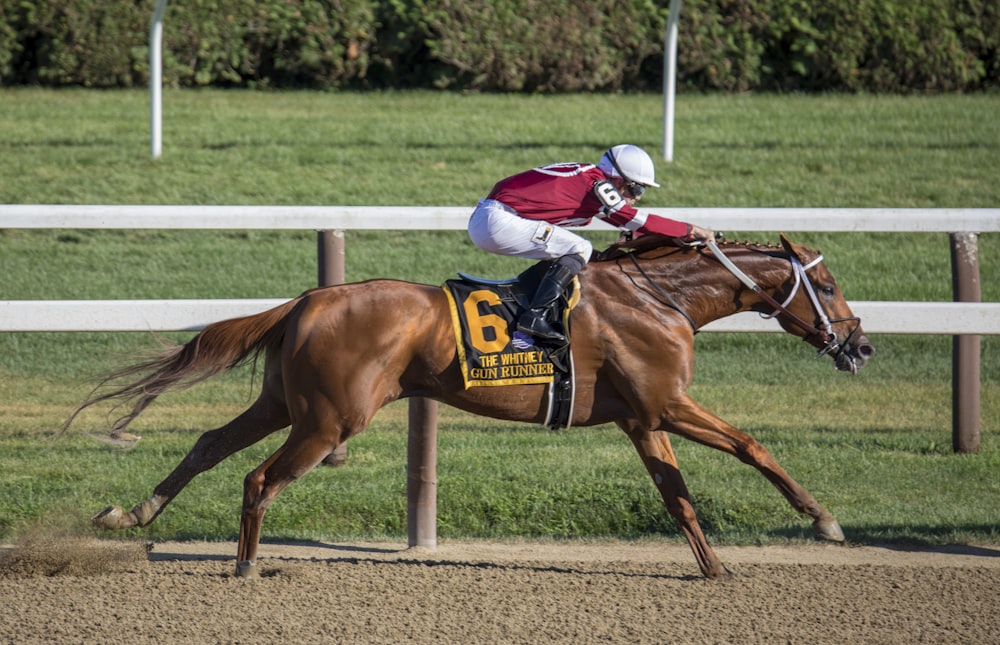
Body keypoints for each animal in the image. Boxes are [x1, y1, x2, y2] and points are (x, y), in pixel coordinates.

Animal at [66, 235, 872, 580]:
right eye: (828, 286)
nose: (860, 345)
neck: (660, 297)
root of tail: (307, 300)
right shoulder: (666, 405)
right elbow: (751, 445)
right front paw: (824, 520)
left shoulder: (643, 418)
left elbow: (677, 497)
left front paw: (714, 569)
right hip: (329, 419)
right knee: (260, 479)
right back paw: (244, 569)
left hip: (284, 404)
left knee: (209, 442)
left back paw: (130, 514)